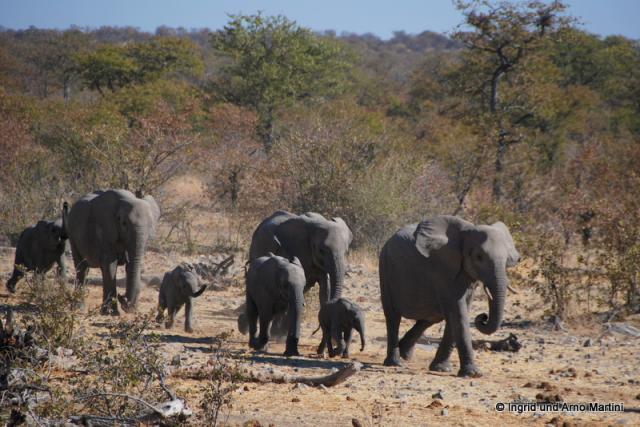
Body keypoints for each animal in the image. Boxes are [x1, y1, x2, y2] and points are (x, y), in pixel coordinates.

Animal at [380, 217, 520, 378]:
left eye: (507, 259)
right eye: (478, 257)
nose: (483, 317)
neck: (466, 232)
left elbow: (458, 313)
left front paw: (441, 369)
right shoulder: (443, 271)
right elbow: (459, 313)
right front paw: (473, 374)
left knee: (432, 317)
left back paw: (405, 353)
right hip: (385, 267)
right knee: (393, 316)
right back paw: (395, 363)